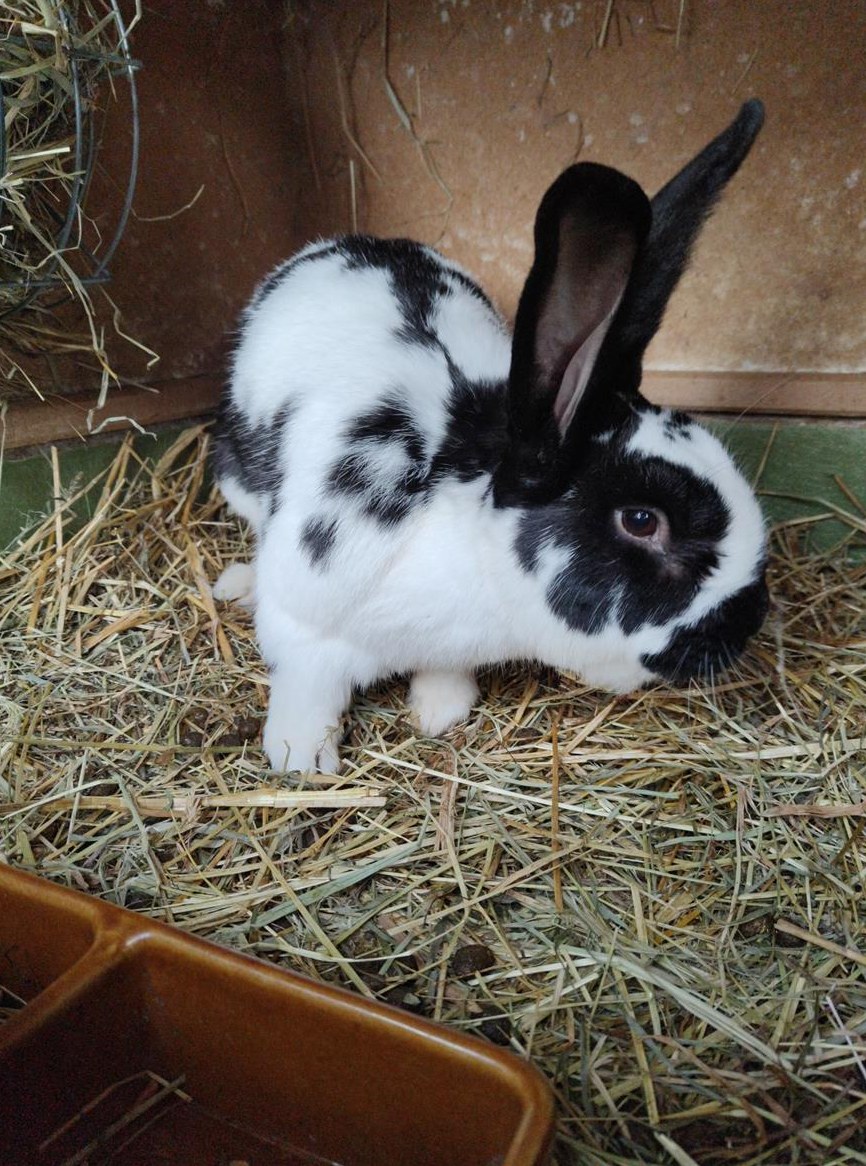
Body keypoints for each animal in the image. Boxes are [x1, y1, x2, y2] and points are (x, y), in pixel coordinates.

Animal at [212, 99, 770, 774]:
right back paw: (237, 586)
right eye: (641, 520)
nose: (751, 620)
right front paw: (300, 757)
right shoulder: (306, 613)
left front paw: (439, 710)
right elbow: (307, 682)